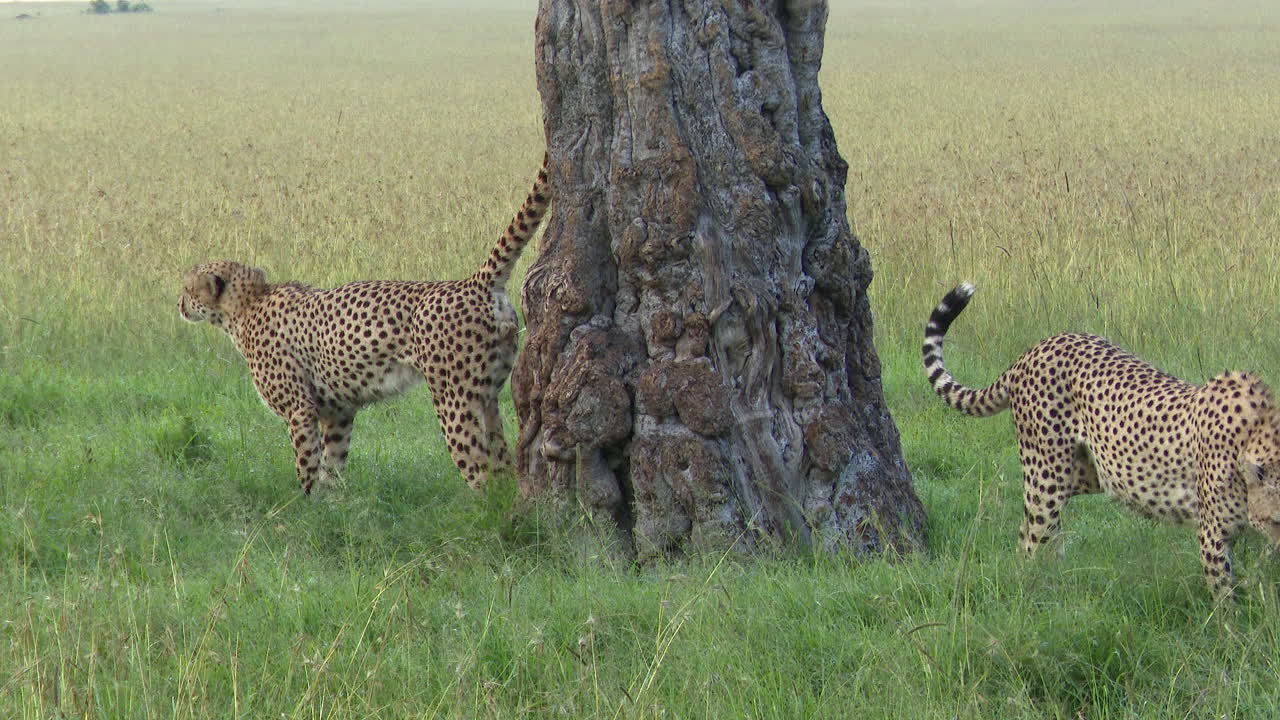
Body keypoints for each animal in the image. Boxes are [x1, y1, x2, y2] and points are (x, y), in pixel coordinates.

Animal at [179, 154, 549, 495]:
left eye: (186, 287)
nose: (178, 304)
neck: (245, 306)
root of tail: (474, 282)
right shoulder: (337, 411)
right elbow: (333, 465)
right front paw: (334, 508)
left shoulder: (300, 410)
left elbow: (307, 466)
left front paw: (305, 507)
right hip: (488, 394)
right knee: (502, 461)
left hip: (454, 399)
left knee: (479, 468)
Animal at [923, 282, 1280, 602]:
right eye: (1276, 520)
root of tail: (1037, 348)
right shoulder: (1213, 535)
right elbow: (1225, 598)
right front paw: (1230, 629)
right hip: (1047, 477)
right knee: (1033, 536)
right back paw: (1032, 590)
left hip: (1088, 473)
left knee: (1033, 529)